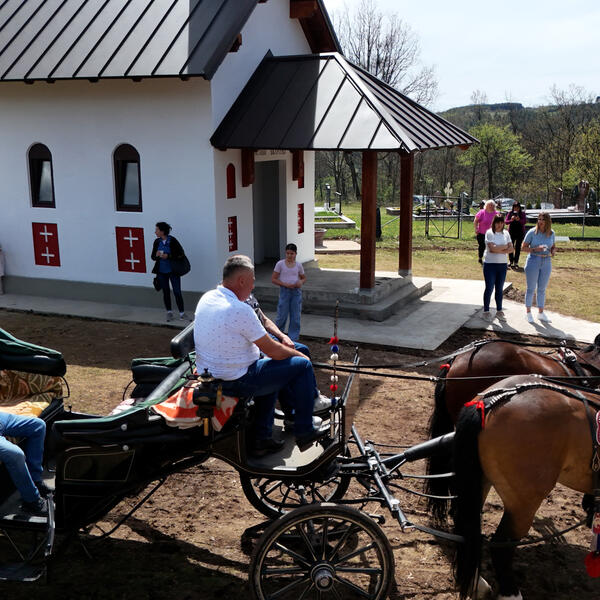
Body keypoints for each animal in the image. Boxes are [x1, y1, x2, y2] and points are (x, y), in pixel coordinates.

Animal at [453, 374, 599, 599]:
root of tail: (488, 402)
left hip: (480, 484)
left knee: (469, 532)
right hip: (524, 503)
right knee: (501, 545)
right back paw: (510, 593)